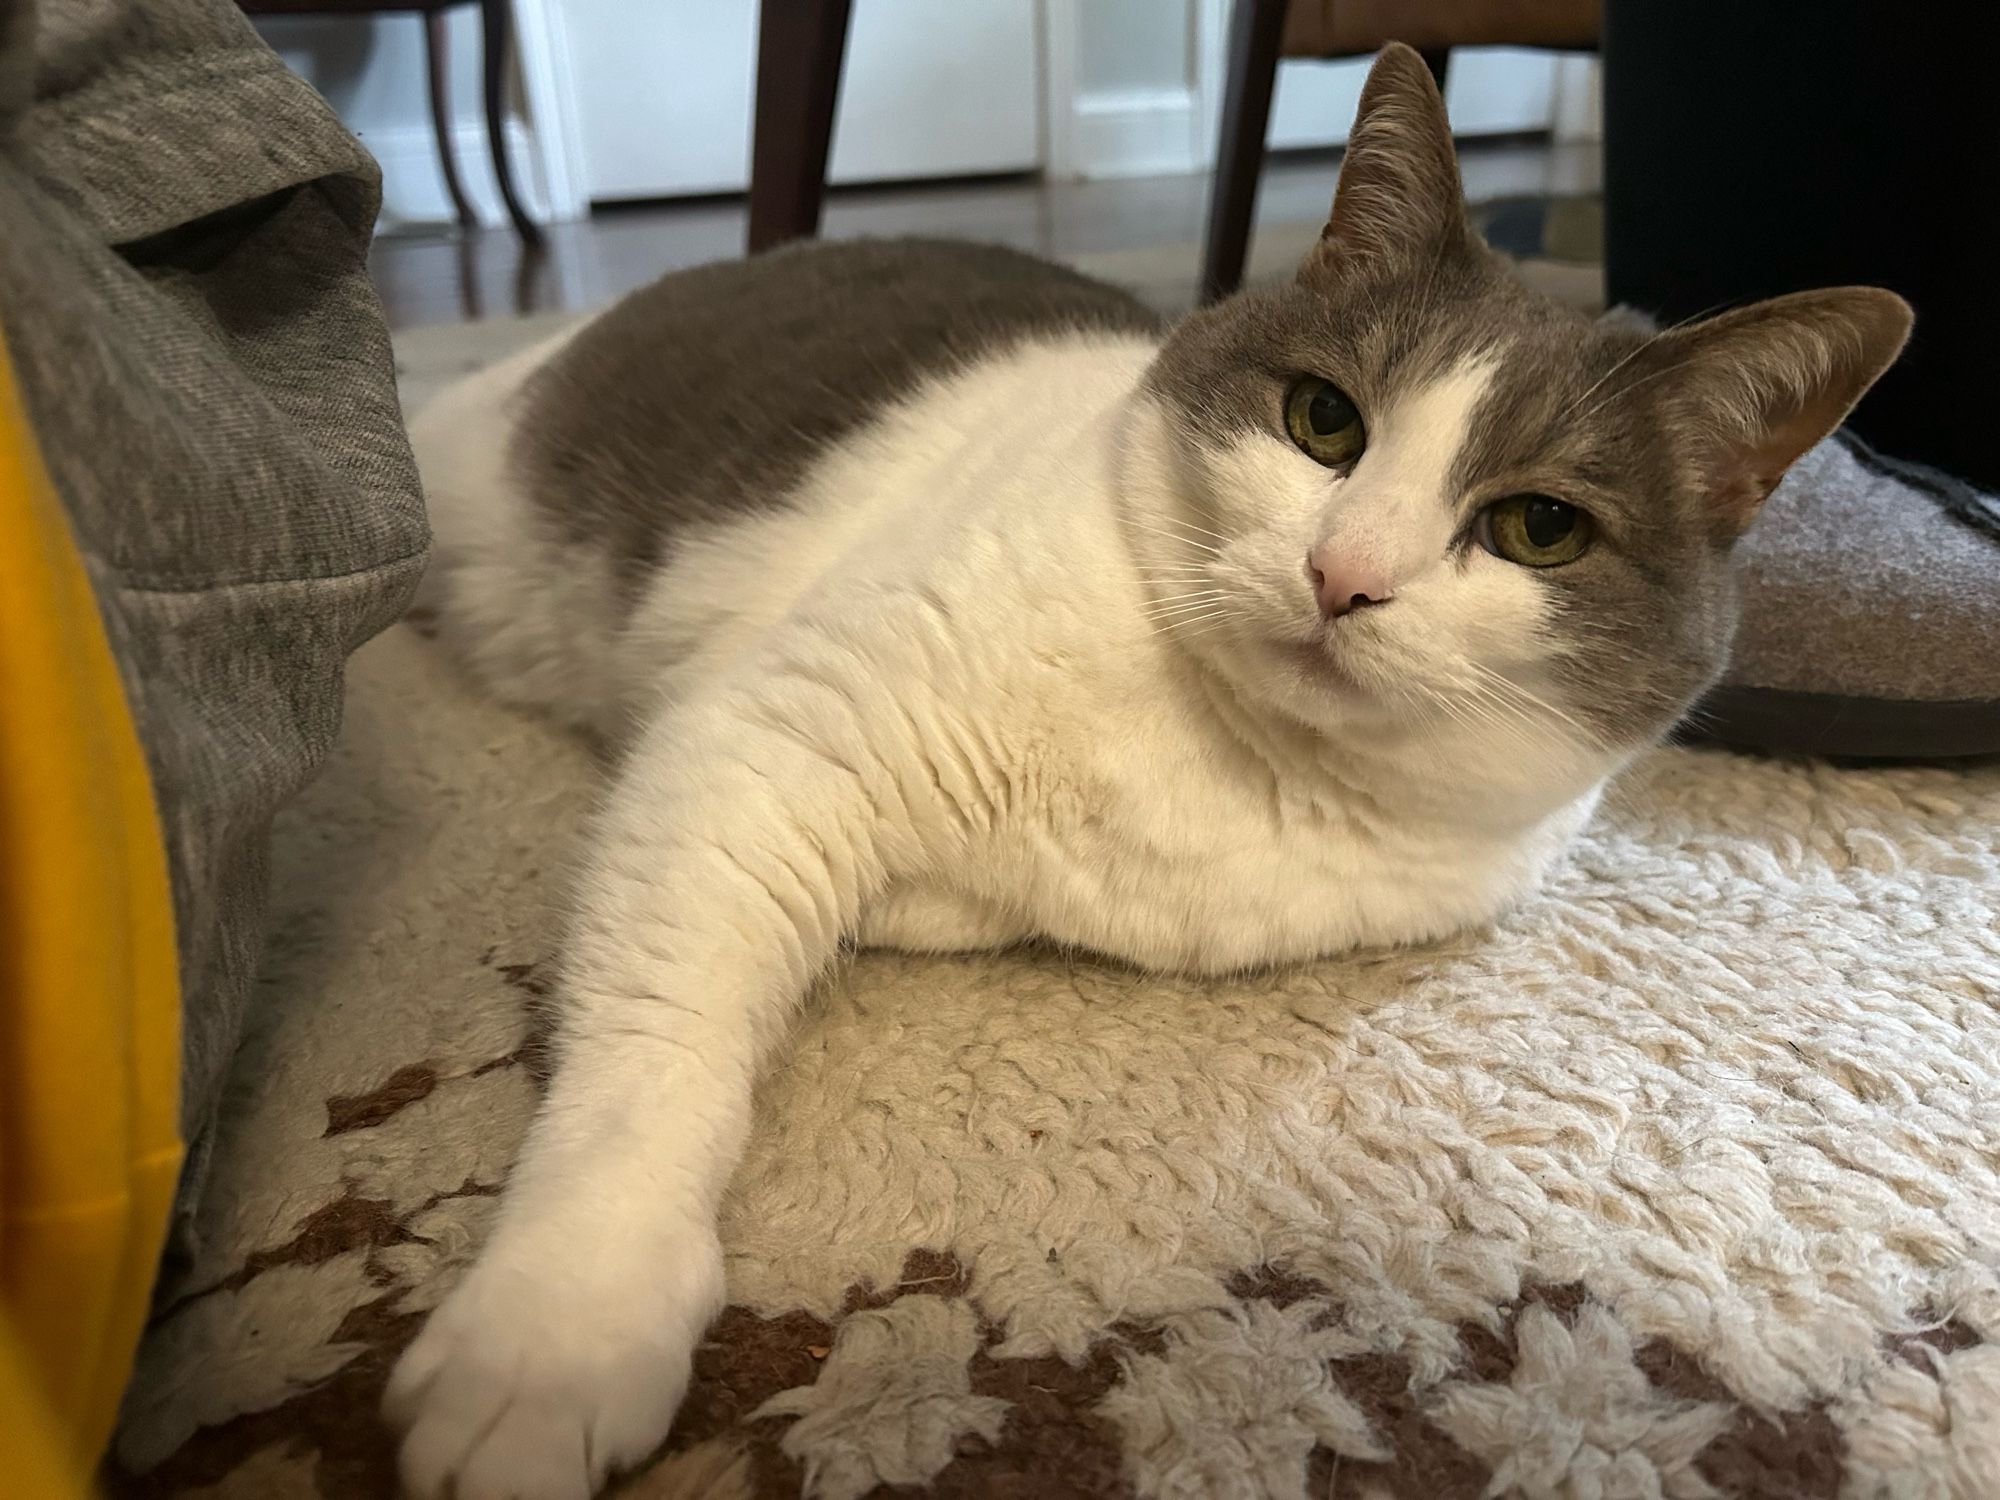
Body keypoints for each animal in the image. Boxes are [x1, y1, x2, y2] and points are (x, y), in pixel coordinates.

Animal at [386, 47, 1904, 1500]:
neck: (1240, 760)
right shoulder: (765, 746)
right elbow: (658, 1053)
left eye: (1539, 529)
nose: (1343, 575)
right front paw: (558, 1336)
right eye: (1323, 420)